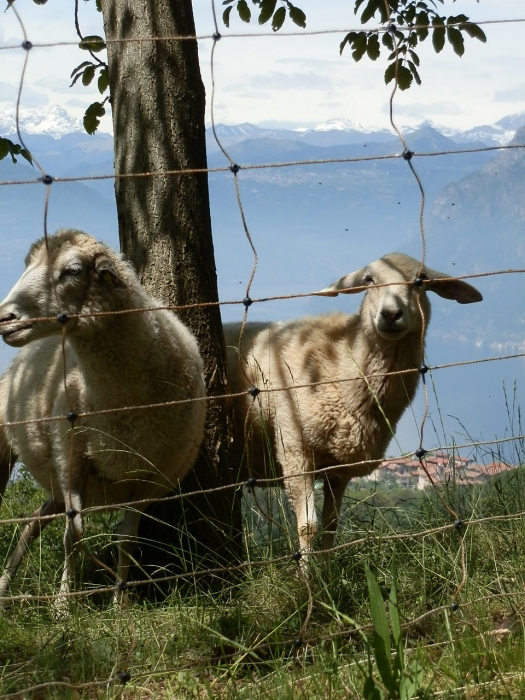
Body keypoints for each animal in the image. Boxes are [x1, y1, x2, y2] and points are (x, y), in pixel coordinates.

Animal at [0, 231, 206, 608]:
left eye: (72, 270)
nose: (5, 318)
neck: (123, 406)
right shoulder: (73, 459)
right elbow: (74, 534)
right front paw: (63, 605)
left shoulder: (148, 475)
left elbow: (127, 540)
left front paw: (119, 602)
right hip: (36, 457)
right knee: (39, 523)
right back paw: (6, 586)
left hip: (58, 480)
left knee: (33, 522)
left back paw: (5, 587)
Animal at [223, 254, 482, 556]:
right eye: (369, 279)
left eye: (421, 281)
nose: (390, 314)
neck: (341, 359)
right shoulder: (294, 450)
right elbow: (308, 526)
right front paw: (307, 571)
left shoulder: (341, 466)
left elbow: (331, 523)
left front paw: (328, 565)